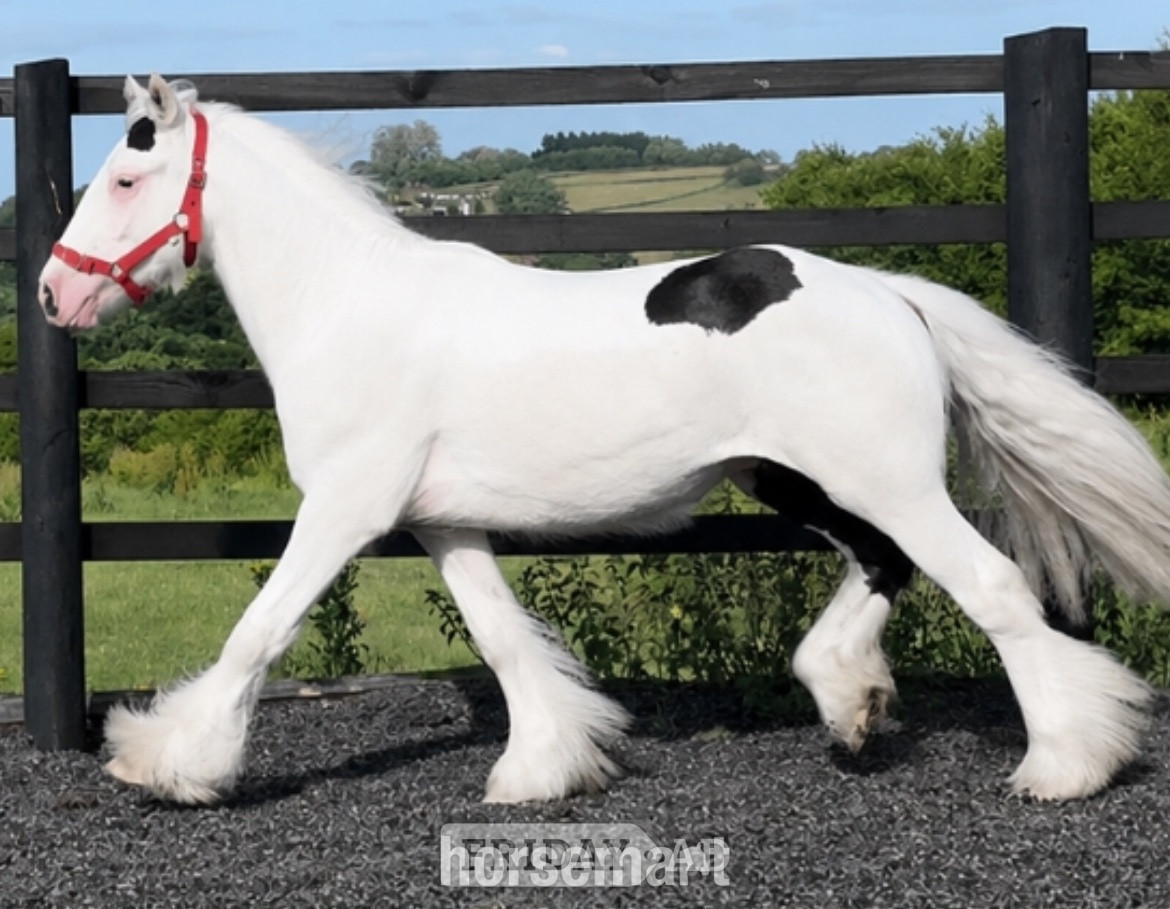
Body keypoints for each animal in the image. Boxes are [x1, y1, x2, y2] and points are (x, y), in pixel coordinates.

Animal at [37, 74, 1170, 806]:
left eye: (127, 180)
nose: (54, 294)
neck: (346, 308)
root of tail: (890, 291)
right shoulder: (442, 524)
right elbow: (505, 642)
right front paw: (542, 770)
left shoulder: (347, 507)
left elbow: (256, 631)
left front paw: (164, 761)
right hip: (794, 479)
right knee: (882, 566)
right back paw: (852, 702)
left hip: (881, 479)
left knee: (992, 587)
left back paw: (1067, 765)